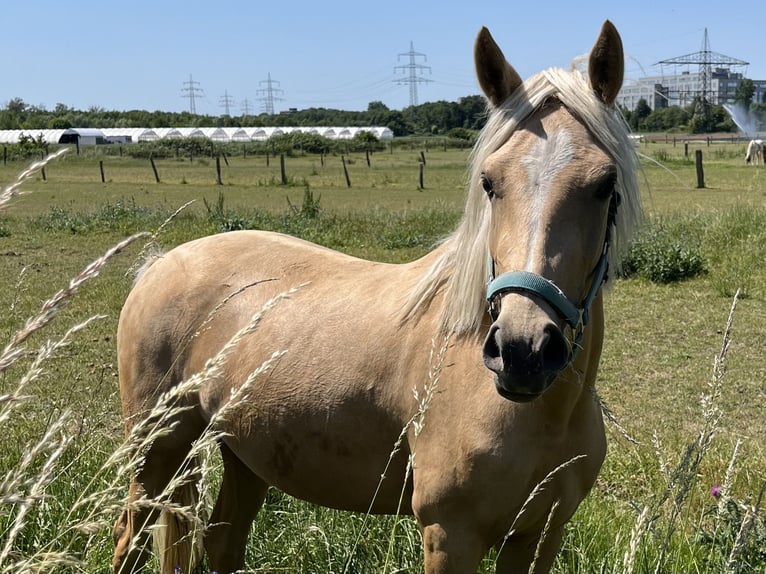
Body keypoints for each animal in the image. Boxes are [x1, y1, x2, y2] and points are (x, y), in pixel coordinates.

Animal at [112, 19, 640, 574]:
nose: (522, 350)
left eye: (605, 184)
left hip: (242, 454)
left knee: (221, 543)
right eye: (489, 182)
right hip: (156, 452)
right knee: (130, 538)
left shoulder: (539, 538)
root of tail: (159, 264)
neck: (542, 415)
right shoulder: (449, 535)